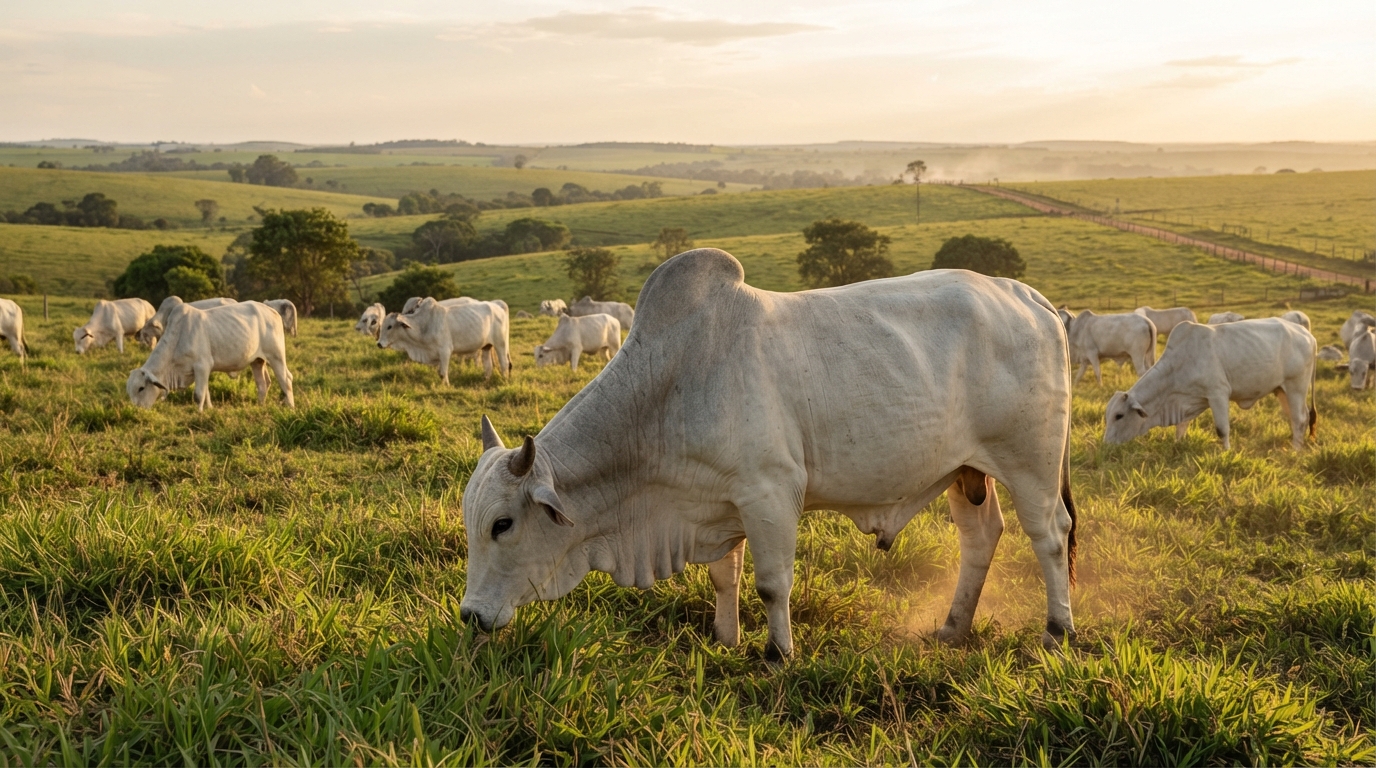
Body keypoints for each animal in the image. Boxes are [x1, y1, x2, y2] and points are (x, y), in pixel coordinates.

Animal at [126, 299, 293, 411]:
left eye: (141, 388)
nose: (136, 411)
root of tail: (271, 310)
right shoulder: (202, 370)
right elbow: (206, 392)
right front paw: (209, 408)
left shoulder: (202, 366)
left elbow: (198, 395)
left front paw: (198, 413)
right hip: (257, 361)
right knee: (262, 384)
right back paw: (260, 406)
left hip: (276, 356)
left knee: (286, 380)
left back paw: (290, 407)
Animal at [377, 298, 510, 383]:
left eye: (389, 326)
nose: (379, 344)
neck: (424, 326)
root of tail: (498, 307)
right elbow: (439, 373)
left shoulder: (445, 351)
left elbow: (442, 373)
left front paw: (446, 386)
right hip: (486, 346)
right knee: (488, 366)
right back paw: (485, 381)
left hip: (501, 344)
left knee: (504, 363)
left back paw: (505, 380)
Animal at [459, 250, 1079, 659]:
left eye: (503, 524)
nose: (470, 615)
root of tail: (1030, 297)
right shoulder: (718, 503)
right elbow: (723, 577)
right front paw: (725, 639)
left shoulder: (770, 494)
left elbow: (772, 582)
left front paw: (777, 653)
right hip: (966, 471)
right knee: (982, 537)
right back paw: (953, 627)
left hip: (1031, 462)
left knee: (1050, 535)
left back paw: (1056, 630)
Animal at [1104, 319, 1316, 451]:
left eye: (1119, 415)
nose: (1106, 445)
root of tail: (1307, 334)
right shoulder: (1188, 401)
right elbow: (1181, 427)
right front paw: (1178, 445)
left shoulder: (1218, 394)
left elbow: (1222, 429)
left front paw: (1227, 452)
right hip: (1281, 390)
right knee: (1296, 418)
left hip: (1296, 387)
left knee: (1300, 419)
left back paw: (1295, 450)